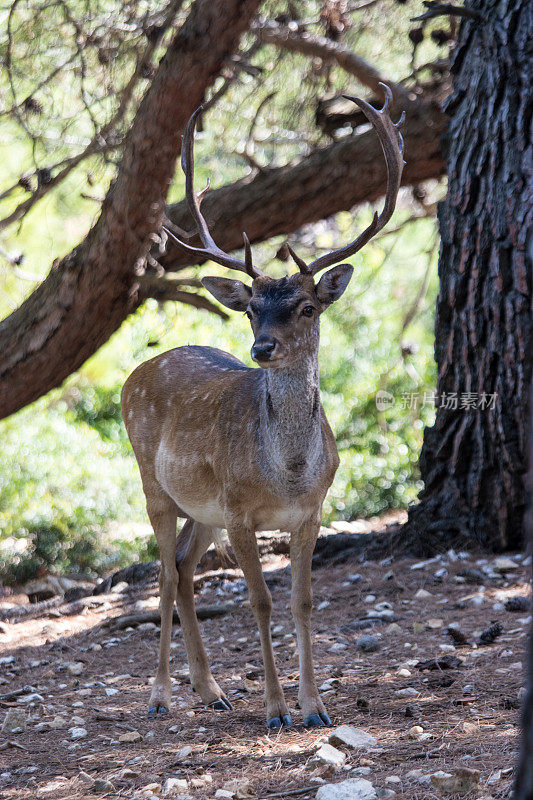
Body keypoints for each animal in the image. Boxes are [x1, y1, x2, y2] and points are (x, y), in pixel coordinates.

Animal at [120, 83, 404, 732]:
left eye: (306, 306)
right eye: (252, 309)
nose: (262, 348)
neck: (290, 473)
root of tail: (135, 373)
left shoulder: (311, 513)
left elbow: (302, 601)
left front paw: (315, 706)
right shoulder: (242, 515)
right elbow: (260, 600)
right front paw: (276, 710)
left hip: (203, 508)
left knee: (182, 565)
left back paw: (211, 689)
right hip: (155, 483)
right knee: (163, 574)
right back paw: (160, 695)